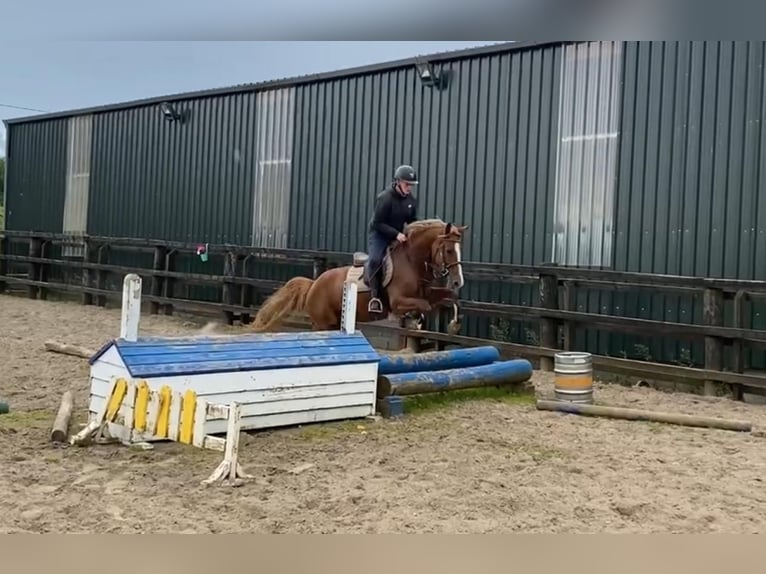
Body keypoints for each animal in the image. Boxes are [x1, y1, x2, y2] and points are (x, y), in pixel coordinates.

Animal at [252, 222, 468, 338]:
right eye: (449, 250)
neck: (411, 261)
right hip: (323, 323)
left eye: (459, 249)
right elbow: (424, 306)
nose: (459, 282)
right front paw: (416, 322)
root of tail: (314, 284)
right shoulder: (398, 303)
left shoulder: (428, 293)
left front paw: (454, 325)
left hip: (332, 322)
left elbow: (450, 298)